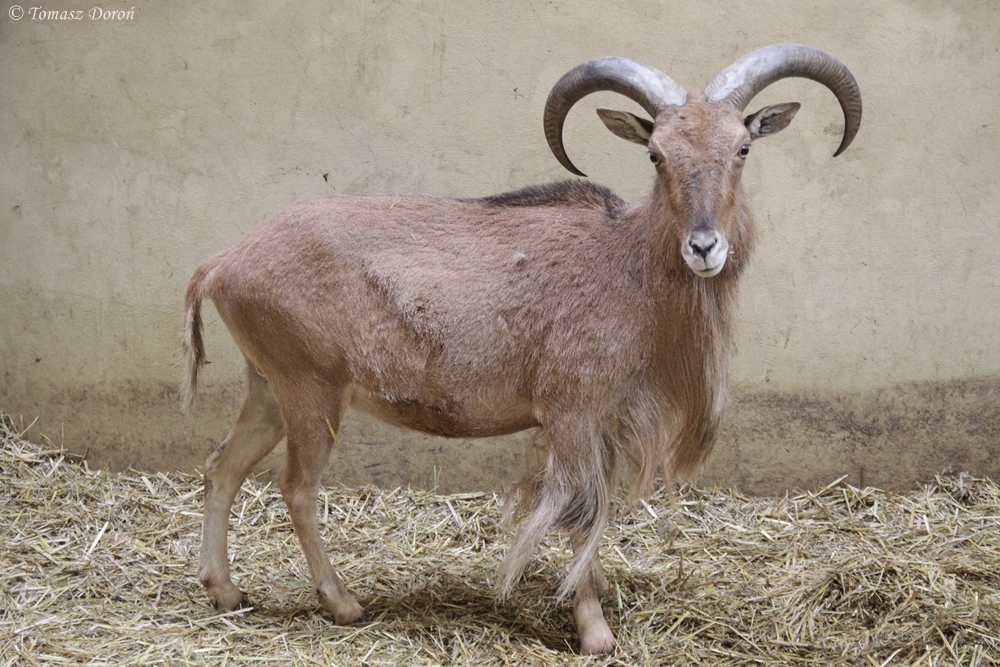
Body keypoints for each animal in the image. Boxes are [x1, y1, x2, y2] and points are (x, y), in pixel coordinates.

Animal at [181, 44, 861, 655]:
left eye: (742, 148)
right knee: (295, 486)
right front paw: (594, 631)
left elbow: (598, 509)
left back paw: (225, 592)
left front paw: (599, 591)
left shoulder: (602, 421)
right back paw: (343, 602)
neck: (627, 265)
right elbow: (579, 511)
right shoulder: (573, 412)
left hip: (267, 386)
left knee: (222, 467)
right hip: (310, 388)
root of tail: (224, 262)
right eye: (656, 153)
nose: (703, 246)